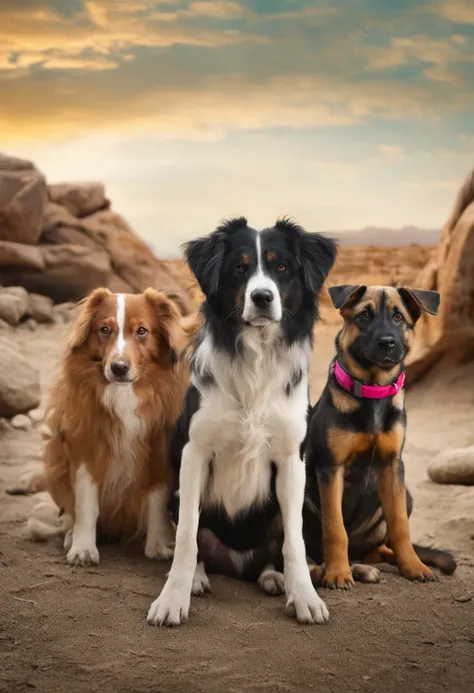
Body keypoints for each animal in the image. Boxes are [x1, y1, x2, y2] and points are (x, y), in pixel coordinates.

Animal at [148, 218, 336, 628]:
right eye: (239, 268)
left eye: (281, 266)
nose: (262, 297)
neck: (256, 357)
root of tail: (237, 561)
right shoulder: (194, 453)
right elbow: (186, 536)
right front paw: (172, 599)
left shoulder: (291, 459)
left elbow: (294, 541)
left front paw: (305, 597)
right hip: (175, 493)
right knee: (199, 542)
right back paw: (199, 578)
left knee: (274, 549)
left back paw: (272, 577)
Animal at [304, 284, 456, 588]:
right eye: (364, 315)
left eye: (398, 317)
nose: (387, 343)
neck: (373, 389)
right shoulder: (331, 469)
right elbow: (335, 527)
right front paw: (337, 572)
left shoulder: (392, 466)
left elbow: (400, 527)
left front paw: (413, 566)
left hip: (406, 496)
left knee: (380, 548)